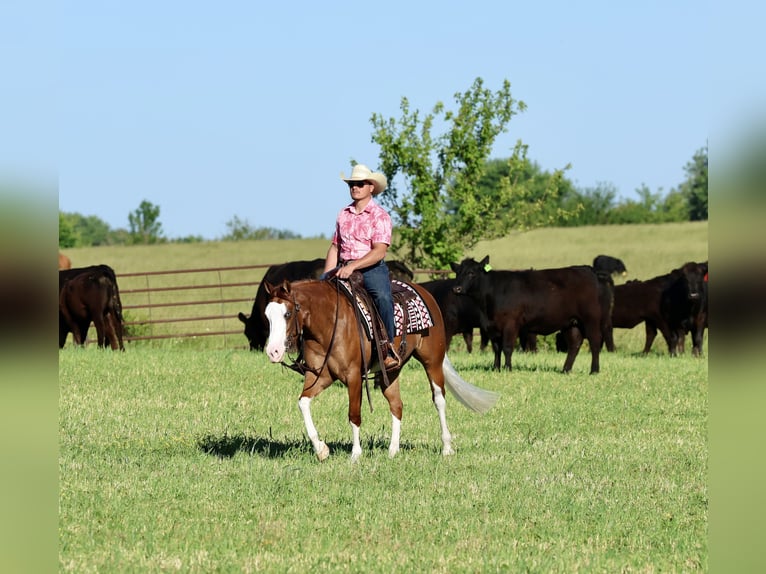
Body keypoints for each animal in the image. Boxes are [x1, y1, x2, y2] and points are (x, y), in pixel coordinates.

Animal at [264, 277, 500, 462]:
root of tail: (424, 292)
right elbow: (303, 402)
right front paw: (321, 449)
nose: (273, 351)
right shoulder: (319, 376)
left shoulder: (353, 376)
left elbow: (354, 414)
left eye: (287, 314)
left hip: (432, 361)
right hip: (392, 372)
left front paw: (356, 454)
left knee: (439, 400)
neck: (330, 323)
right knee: (397, 405)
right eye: (267, 315)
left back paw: (447, 448)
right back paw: (393, 451)